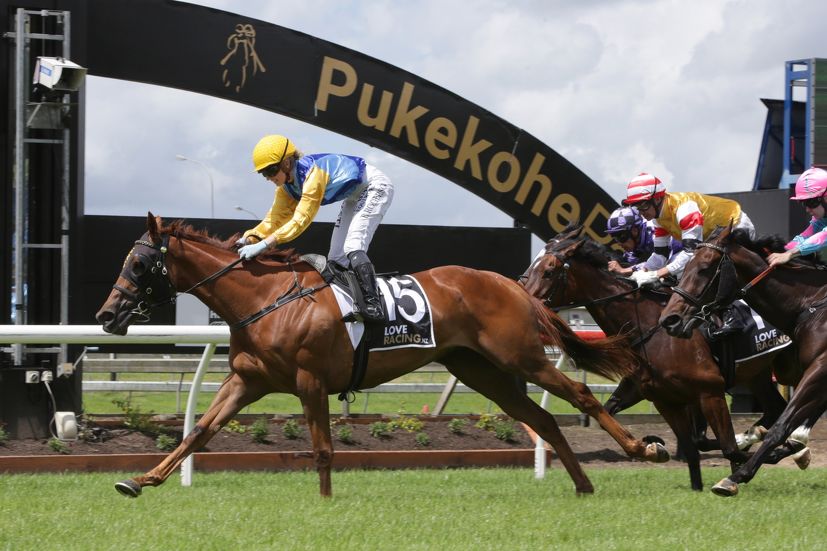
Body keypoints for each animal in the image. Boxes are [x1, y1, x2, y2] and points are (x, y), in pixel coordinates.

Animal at [95, 216, 672, 500]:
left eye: (140, 263)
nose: (106, 315)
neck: (268, 299)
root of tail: (515, 285)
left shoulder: (309, 380)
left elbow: (322, 449)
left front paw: (325, 504)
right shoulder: (246, 381)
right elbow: (196, 432)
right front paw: (139, 481)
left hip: (522, 357)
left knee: (578, 396)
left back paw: (643, 449)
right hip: (480, 369)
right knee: (544, 419)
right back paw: (583, 485)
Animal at [660, 226, 827, 498]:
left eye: (704, 268)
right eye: (685, 267)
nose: (669, 320)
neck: (810, 304)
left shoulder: (820, 369)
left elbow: (780, 427)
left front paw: (735, 477)